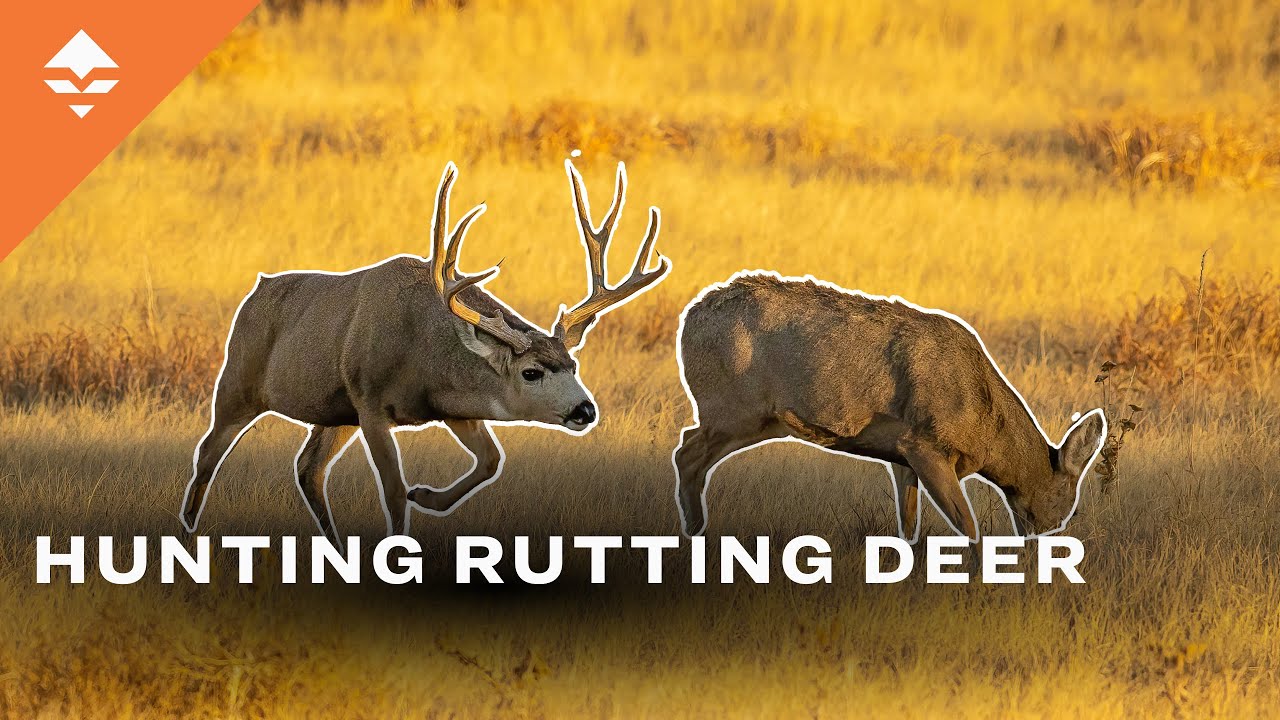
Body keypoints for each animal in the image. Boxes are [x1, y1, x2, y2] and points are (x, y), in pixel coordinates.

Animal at [180, 160, 670, 542]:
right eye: (531, 372)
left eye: (572, 364)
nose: (585, 410)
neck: (422, 353)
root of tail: (254, 293)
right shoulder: (371, 400)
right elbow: (394, 492)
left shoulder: (448, 407)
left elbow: (491, 460)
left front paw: (428, 496)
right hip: (239, 381)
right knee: (208, 453)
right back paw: (187, 534)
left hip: (334, 411)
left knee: (308, 468)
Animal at [672, 272, 1106, 541]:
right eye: (1069, 505)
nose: (1044, 538)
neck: (986, 426)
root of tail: (690, 317)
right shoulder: (926, 444)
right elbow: (969, 528)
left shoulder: (901, 456)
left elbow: (909, 526)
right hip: (734, 410)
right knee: (686, 455)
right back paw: (697, 536)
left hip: (754, 420)